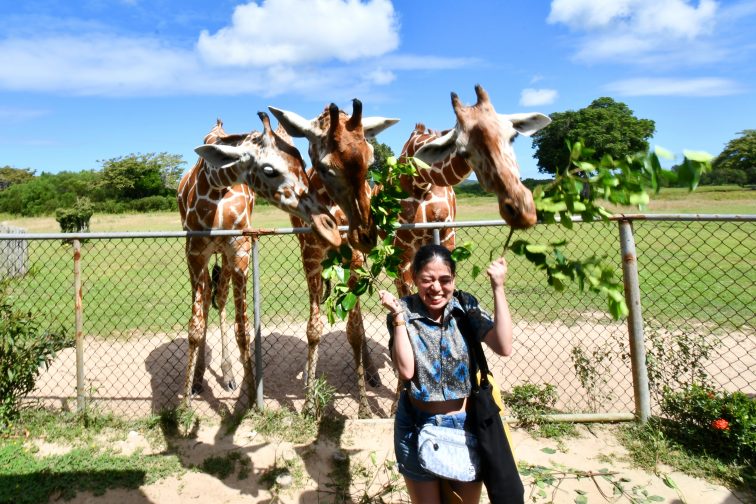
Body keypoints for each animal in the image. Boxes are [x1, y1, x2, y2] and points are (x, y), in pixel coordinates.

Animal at [176, 113, 342, 410]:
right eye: (269, 170)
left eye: (302, 162)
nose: (329, 226)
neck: (214, 189)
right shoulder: (194, 252)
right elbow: (195, 328)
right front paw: (184, 407)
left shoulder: (239, 250)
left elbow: (243, 329)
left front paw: (252, 396)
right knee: (208, 301)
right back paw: (198, 380)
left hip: (225, 255)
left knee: (220, 296)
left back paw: (228, 375)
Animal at [272, 99, 402, 418]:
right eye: (325, 167)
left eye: (371, 158)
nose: (365, 234)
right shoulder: (310, 256)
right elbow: (313, 329)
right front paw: (308, 404)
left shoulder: (352, 258)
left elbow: (353, 330)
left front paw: (365, 409)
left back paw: (372, 374)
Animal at [390, 82, 548, 296]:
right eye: (463, 150)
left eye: (513, 137)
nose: (522, 210)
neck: (419, 182)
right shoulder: (401, 246)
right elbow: (406, 290)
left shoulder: (447, 233)